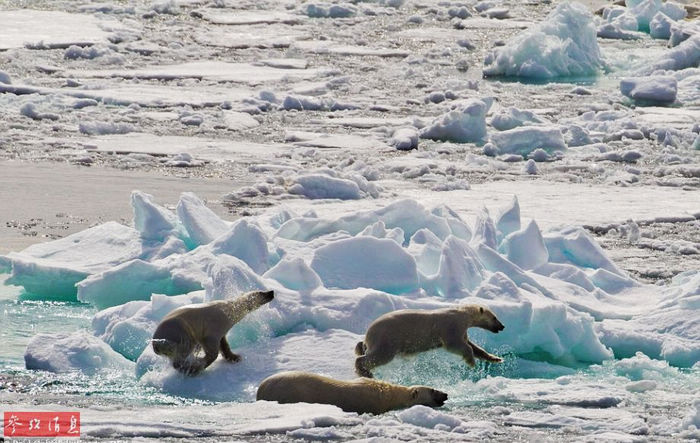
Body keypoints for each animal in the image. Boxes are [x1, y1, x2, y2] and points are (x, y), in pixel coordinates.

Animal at [356, 306, 504, 378]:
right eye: (495, 317)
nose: (502, 326)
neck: (463, 313)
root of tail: (368, 334)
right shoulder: (452, 326)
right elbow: (455, 345)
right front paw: (471, 362)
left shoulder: (462, 331)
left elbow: (474, 346)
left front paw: (496, 358)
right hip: (387, 338)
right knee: (379, 356)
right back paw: (365, 372)